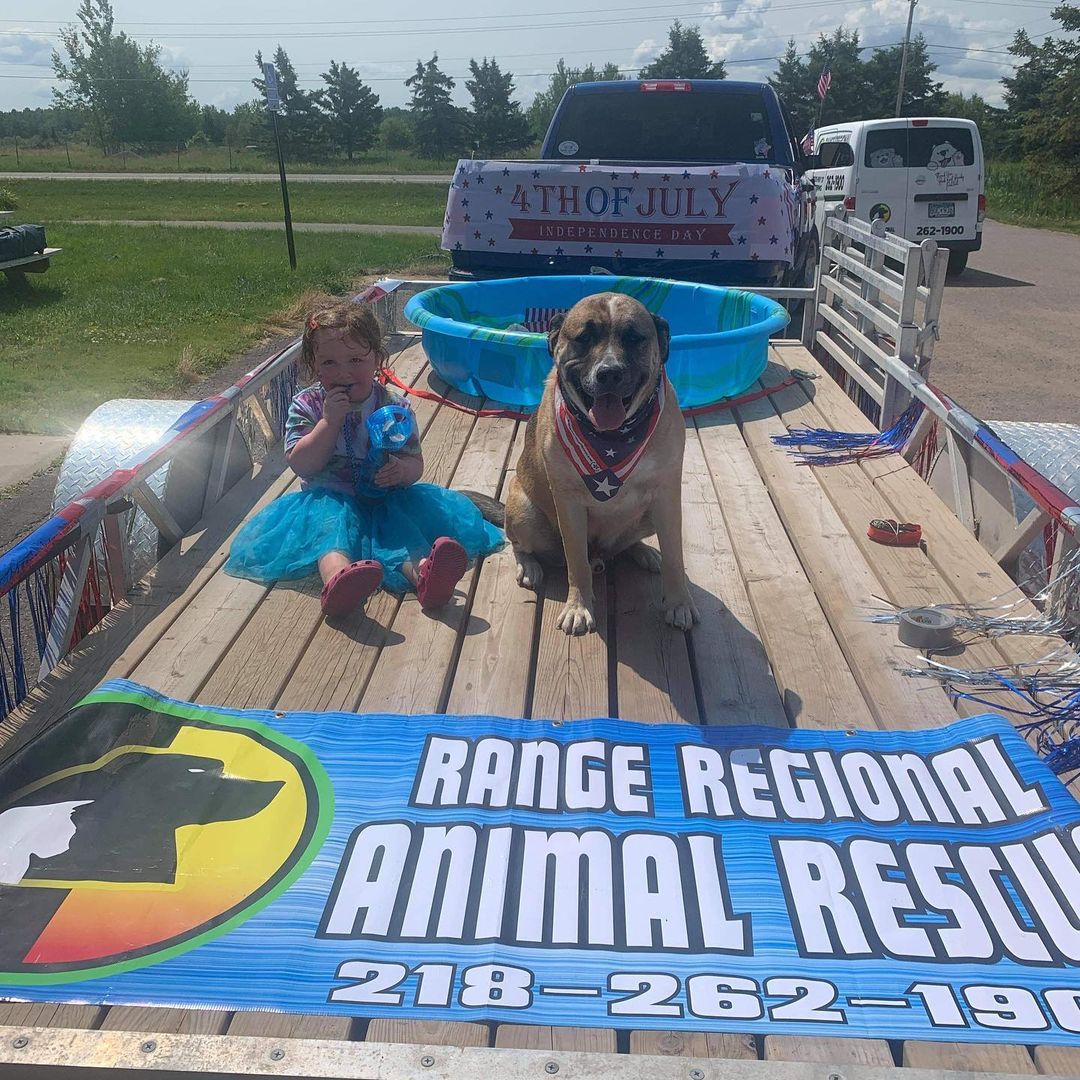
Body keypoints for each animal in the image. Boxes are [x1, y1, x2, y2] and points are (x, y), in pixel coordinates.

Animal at [505, 291, 699, 635]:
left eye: (634, 338)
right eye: (584, 337)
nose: (609, 373)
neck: (612, 440)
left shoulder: (666, 496)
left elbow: (675, 554)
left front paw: (678, 602)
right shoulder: (568, 504)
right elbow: (576, 562)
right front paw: (578, 606)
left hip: (648, 516)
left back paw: (643, 551)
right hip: (524, 511)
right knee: (520, 544)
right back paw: (529, 565)